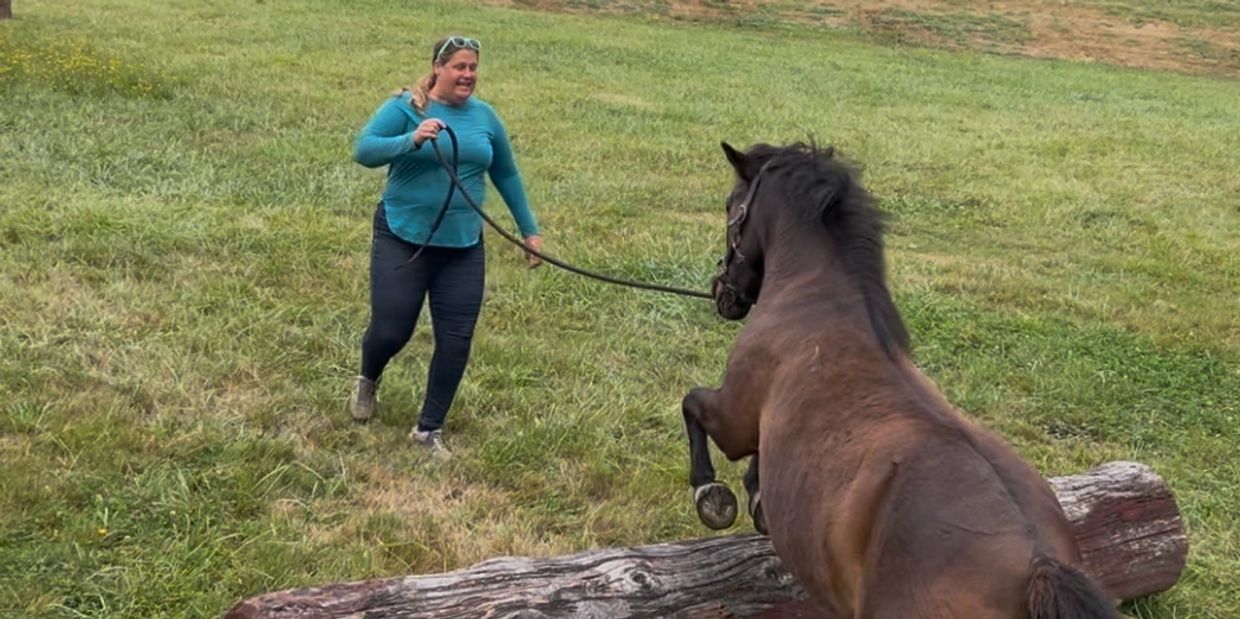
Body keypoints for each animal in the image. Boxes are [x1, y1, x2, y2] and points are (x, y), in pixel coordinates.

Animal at [681, 141, 1119, 618]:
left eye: (730, 206)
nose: (721, 291)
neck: (816, 295)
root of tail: (1035, 567)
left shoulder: (734, 418)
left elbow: (693, 405)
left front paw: (711, 493)